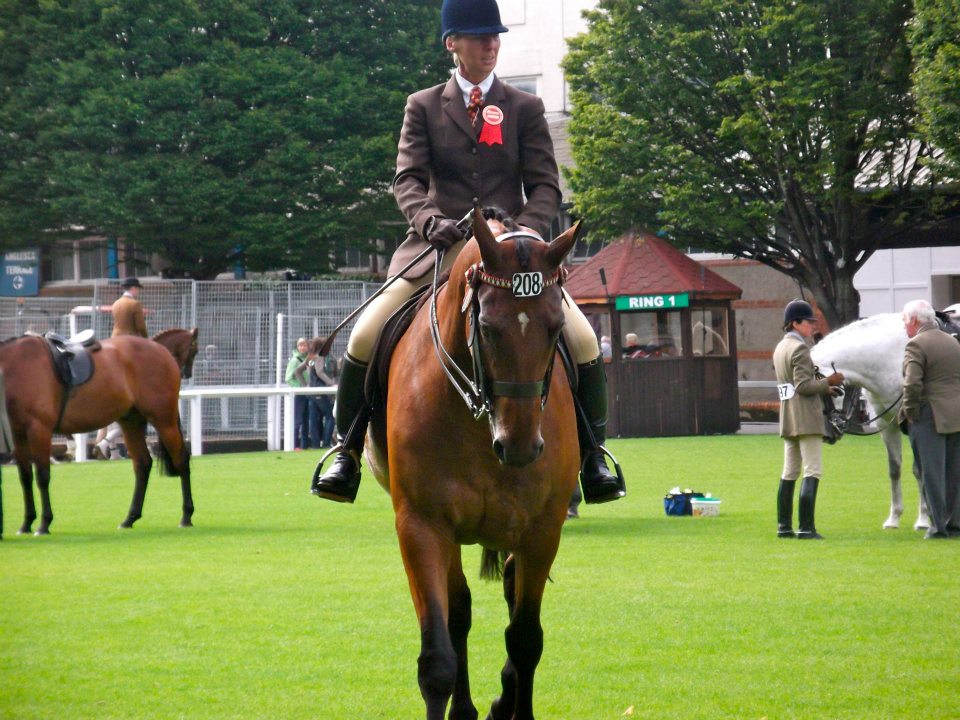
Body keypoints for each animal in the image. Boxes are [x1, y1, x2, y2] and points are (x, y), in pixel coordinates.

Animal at [366, 208, 576, 720]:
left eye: (556, 326)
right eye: (488, 328)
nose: (519, 446)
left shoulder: (543, 530)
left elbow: (525, 640)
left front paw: (516, 703)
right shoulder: (422, 525)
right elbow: (437, 657)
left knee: (509, 598)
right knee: (459, 610)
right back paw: (466, 707)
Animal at [808, 314, 928, 528]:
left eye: (834, 392)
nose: (828, 433)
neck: (894, 356)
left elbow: (920, 469)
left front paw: (923, 518)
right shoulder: (887, 425)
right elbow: (894, 469)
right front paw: (894, 517)